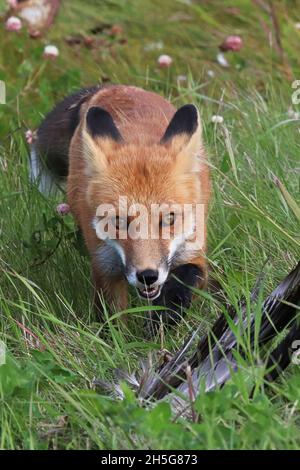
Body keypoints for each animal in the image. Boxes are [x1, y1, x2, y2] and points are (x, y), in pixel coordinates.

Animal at [32, 84, 210, 324]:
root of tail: (112, 87)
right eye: (118, 221)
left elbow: (180, 289)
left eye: (170, 218)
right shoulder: (104, 265)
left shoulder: (193, 251)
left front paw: (159, 324)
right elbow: (111, 320)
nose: (147, 276)